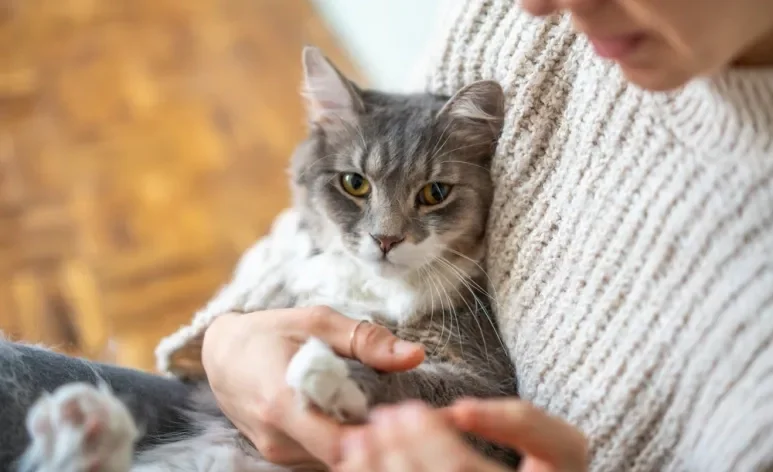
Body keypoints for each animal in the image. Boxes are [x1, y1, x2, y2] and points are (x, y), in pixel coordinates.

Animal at [15, 45, 520, 472]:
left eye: (435, 193)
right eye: (355, 184)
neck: (375, 289)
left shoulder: (489, 386)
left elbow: (420, 387)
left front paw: (329, 372)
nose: (386, 239)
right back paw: (80, 426)